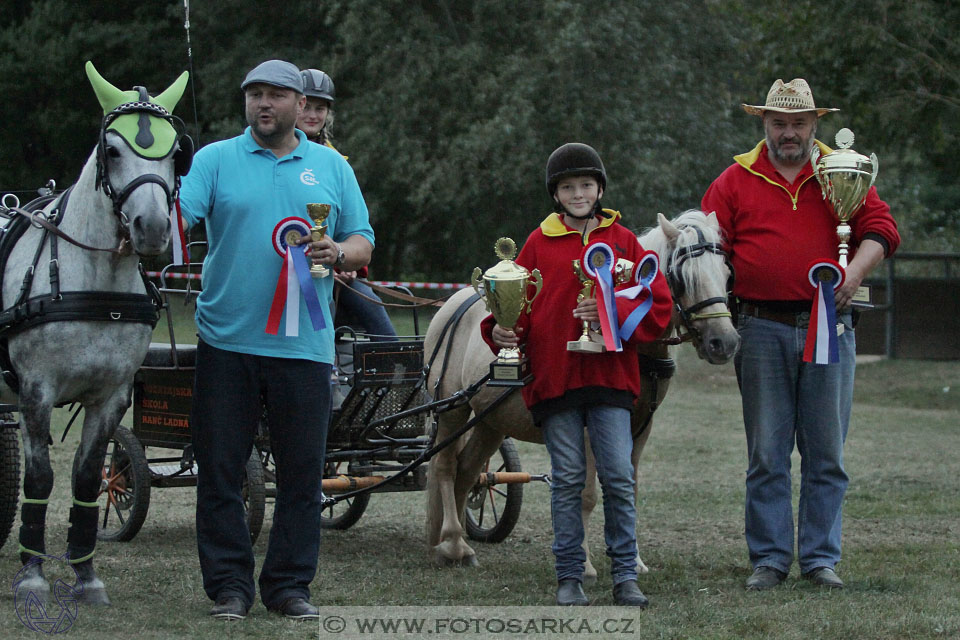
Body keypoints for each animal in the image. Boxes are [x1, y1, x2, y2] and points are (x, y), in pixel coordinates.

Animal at [0, 62, 190, 608]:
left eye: (176, 152)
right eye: (113, 150)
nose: (152, 227)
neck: (96, 281)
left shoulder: (111, 396)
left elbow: (87, 477)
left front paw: (86, 575)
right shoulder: (35, 392)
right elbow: (41, 478)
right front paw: (32, 573)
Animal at [422, 210, 744, 580]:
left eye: (726, 273)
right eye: (683, 277)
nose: (724, 343)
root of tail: (451, 305)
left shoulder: (640, 429)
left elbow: (629, 488)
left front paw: (633, 560)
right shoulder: (590, 427)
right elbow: (587, 494)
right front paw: (586, 564)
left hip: (491, 423)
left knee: (467, 472)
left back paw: (455, 543)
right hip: (452, 408)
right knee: (445, 467)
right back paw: (453, 542)